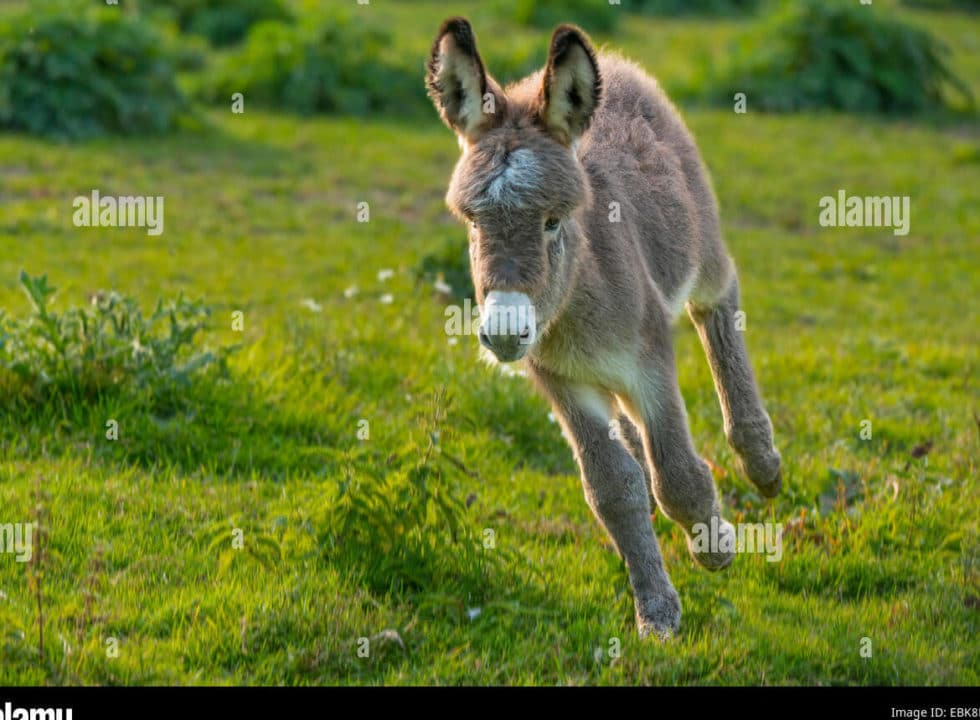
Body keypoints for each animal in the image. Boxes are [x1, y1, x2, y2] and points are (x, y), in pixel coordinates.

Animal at [424, 16, 784, 640]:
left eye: (552, 221)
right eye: (471, 220)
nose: (504, 332)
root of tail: (615, 63)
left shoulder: (651, 367)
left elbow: (679, 477)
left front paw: (714, 548)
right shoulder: (563, 384)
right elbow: (613, 488)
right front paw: (656, 610)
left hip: (703, 248)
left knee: (719, 305)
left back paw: (760, 461)